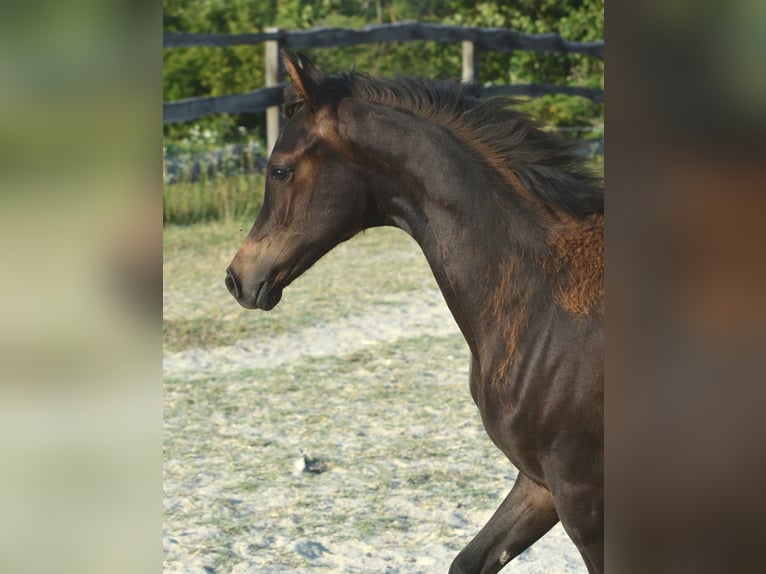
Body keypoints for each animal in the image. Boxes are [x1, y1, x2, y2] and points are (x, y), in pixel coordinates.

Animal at [225, 52, 603, 574]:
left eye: (279, 171)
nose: (237, 278)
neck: (543, 298)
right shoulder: (539, 482)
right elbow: (467, 560)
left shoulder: (584, 498)